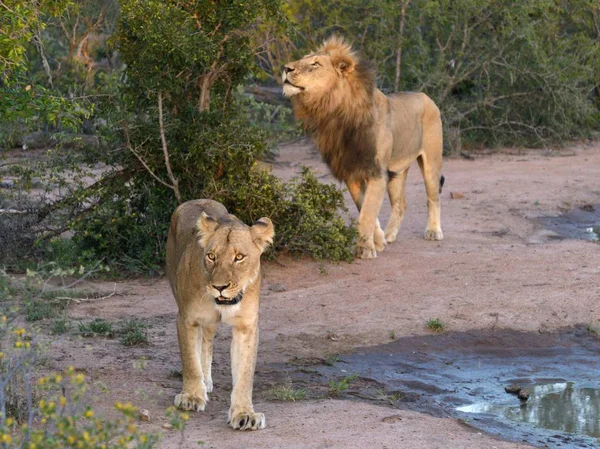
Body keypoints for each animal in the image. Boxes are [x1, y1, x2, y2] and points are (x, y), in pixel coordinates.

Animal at [166, 200, 274, 430]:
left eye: (239, 257)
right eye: (211, 256)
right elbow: (190, 359)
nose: (219, 287)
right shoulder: (187, 319)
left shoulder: (247, 327)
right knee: (200, 346)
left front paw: (245, 414)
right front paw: (191, 397)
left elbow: (244, 374)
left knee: (207, 343)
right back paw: (202, 383)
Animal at [284, 37, 442, 260]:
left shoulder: (376, 172)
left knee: (433, 197)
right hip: (396, 171)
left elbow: (367, 212)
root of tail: (425, 95)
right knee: (400, 204)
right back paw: (390, 234)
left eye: (315, 64)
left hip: (431, 163)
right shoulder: (352, 171)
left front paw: (365, 248)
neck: (336, 113)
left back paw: (433, 231)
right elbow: (364, 208)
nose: (286, 68)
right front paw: (379, 241)